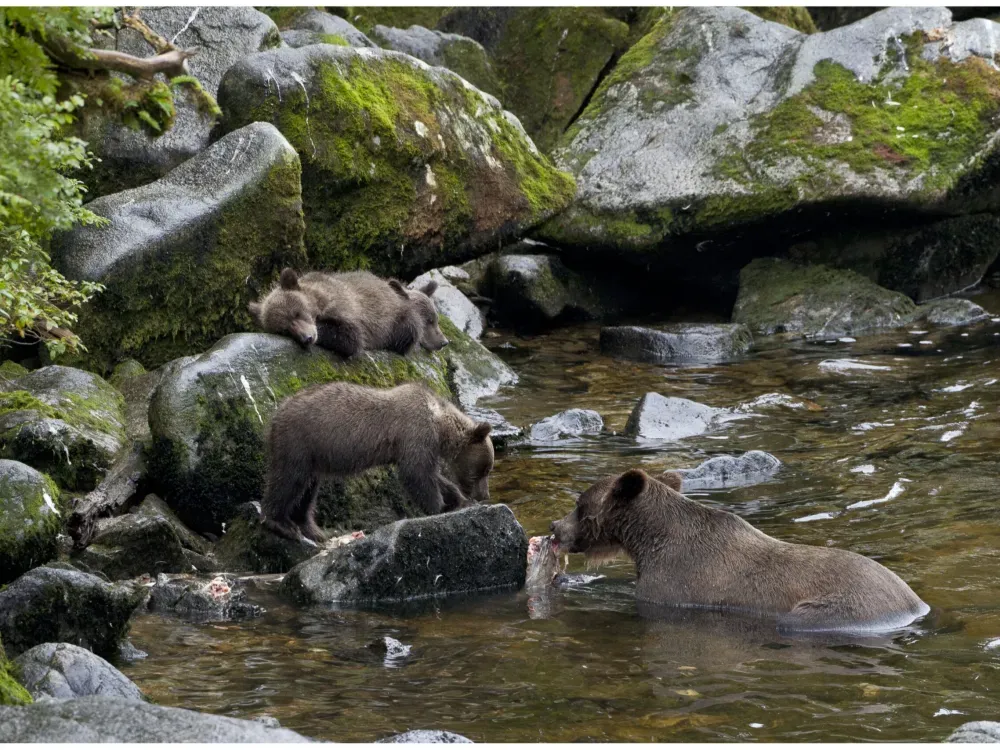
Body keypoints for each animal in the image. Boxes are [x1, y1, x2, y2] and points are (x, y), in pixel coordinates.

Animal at [248, 268, 448, 357]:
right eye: (283, 330)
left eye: (297, 313)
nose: (307, 338)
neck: (319, 299)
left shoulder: (347, 306)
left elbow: (351, 336)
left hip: (396, 317)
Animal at [262, 381, 494, 542]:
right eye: (483, 471)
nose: (485, 495)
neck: (439, 423)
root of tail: (277, 412)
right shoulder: (415, 433)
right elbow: (416, 475)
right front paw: (439, 507)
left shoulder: (421, 446)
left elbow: (432, 476)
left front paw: (458, 499)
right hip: (298, 441)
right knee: (289, 480)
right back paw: (281, 524)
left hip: (313, 455)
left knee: (308, 490)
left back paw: (311, 529)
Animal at [550, 469, 930, 633]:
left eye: (580, 505)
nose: (555, 526)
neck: (648, 542)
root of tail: (915, 606)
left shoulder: (673, 583)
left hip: (839, 608)